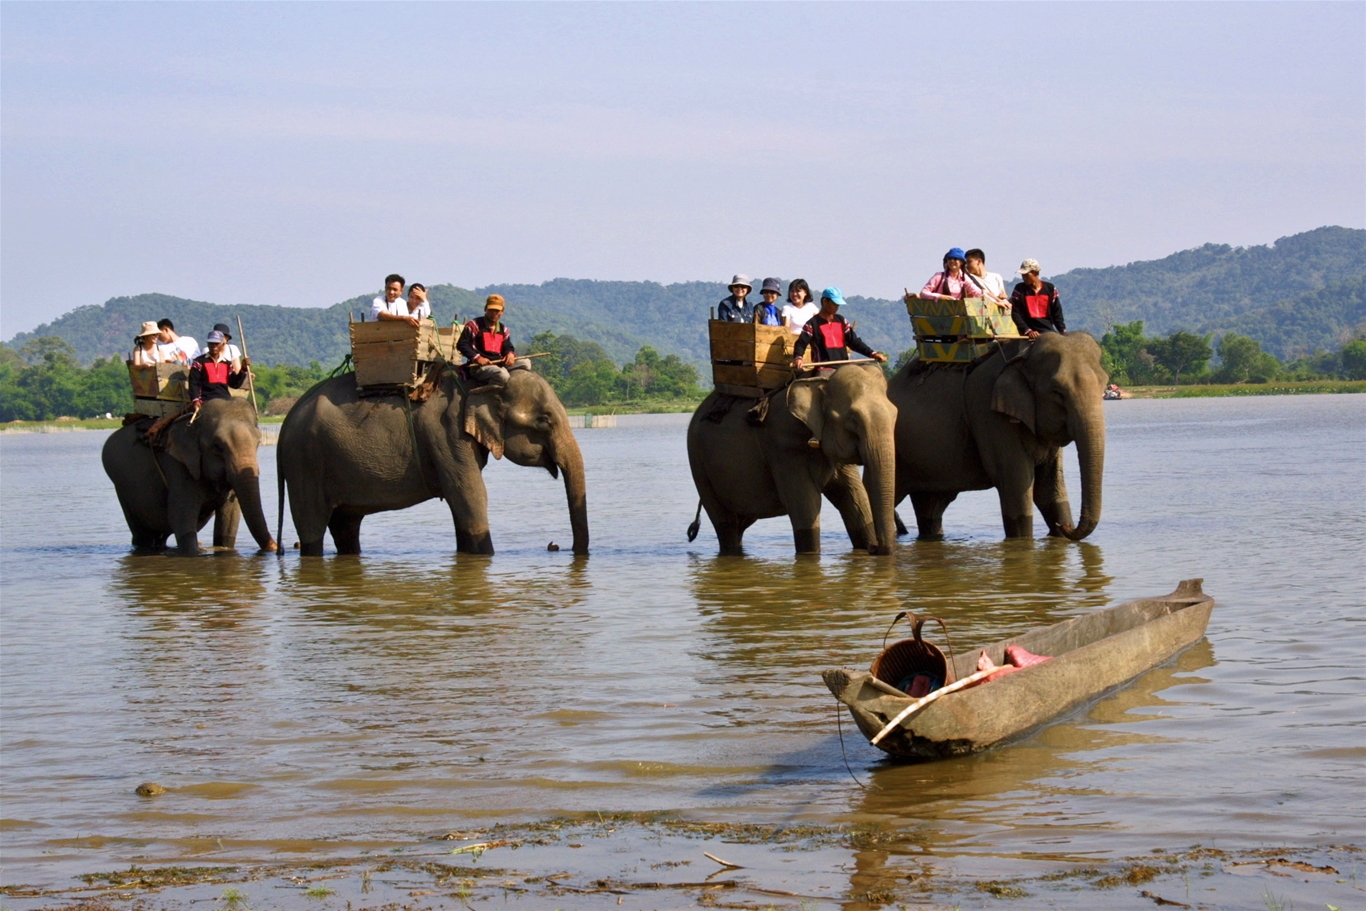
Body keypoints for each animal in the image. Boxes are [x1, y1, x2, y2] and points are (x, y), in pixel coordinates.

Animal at [103, 398, 282, 557]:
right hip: (123, 489)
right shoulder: (177, 464)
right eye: (217, 446)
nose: (276, 548)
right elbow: (182, 517)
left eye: (258, 442)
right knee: (142, 534)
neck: (193, 422)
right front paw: (191, 555)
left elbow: (229, 519)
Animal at [280, 363, 590, 557]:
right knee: (312, 528)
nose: (557, 546)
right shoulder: (447, 435)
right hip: (304, 463)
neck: (476, 383)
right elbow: (469, 495)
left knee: (346, 525)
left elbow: (461, 504)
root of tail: (284, 424)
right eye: (544, 420)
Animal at [688, 363, 901, 557]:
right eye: (853, 420)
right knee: (725, 524)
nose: (874, 549)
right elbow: (806, 505)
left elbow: (854, 498)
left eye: (895, 415)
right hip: (698, 464)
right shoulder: (784, 444)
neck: (822, 380)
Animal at [885, 331, 1109, 538]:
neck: (1024, 353)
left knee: (931, 505)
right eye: (1057, 392)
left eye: (1104, 385)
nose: (1066, 527)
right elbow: (1016, 485)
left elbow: (1048, 489)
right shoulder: (989, 414)